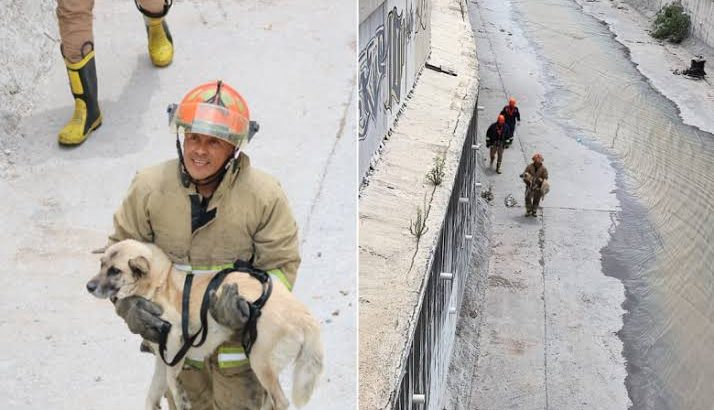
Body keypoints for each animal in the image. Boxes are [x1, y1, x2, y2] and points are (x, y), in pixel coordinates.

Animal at [86, 240, 322, 410]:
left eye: (115, 271)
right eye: (101, 265)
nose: (88, 286)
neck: (159, 283)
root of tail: (304, 316)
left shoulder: (175, 342)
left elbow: (172, 378)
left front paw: (181, 397)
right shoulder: (162, 358)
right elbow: (152, 396)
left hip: (260, 361)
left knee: (281, 401)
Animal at [106, 81, 298, 410]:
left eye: (212, 143)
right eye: (195, 137)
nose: (197, 154)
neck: (207, 187)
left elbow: (280, 264)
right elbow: (123, 236)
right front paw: (134, 311)